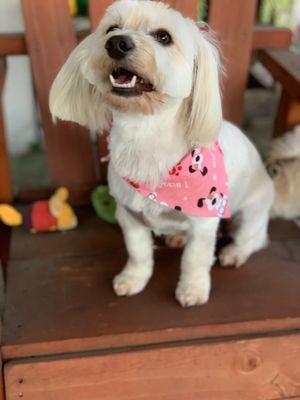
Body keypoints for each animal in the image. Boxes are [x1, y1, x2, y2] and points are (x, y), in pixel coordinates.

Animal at [49, 0, 274, 308]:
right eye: (111, 29)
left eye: (164, 37)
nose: (117, 43)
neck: (144, 136)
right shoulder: (129, 216)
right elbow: (138, 252)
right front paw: (133, 279)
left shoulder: (204, 223)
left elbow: (195, 259)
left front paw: (192, 289)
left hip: (251, 211)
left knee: (253, 238)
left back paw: (234, 253)